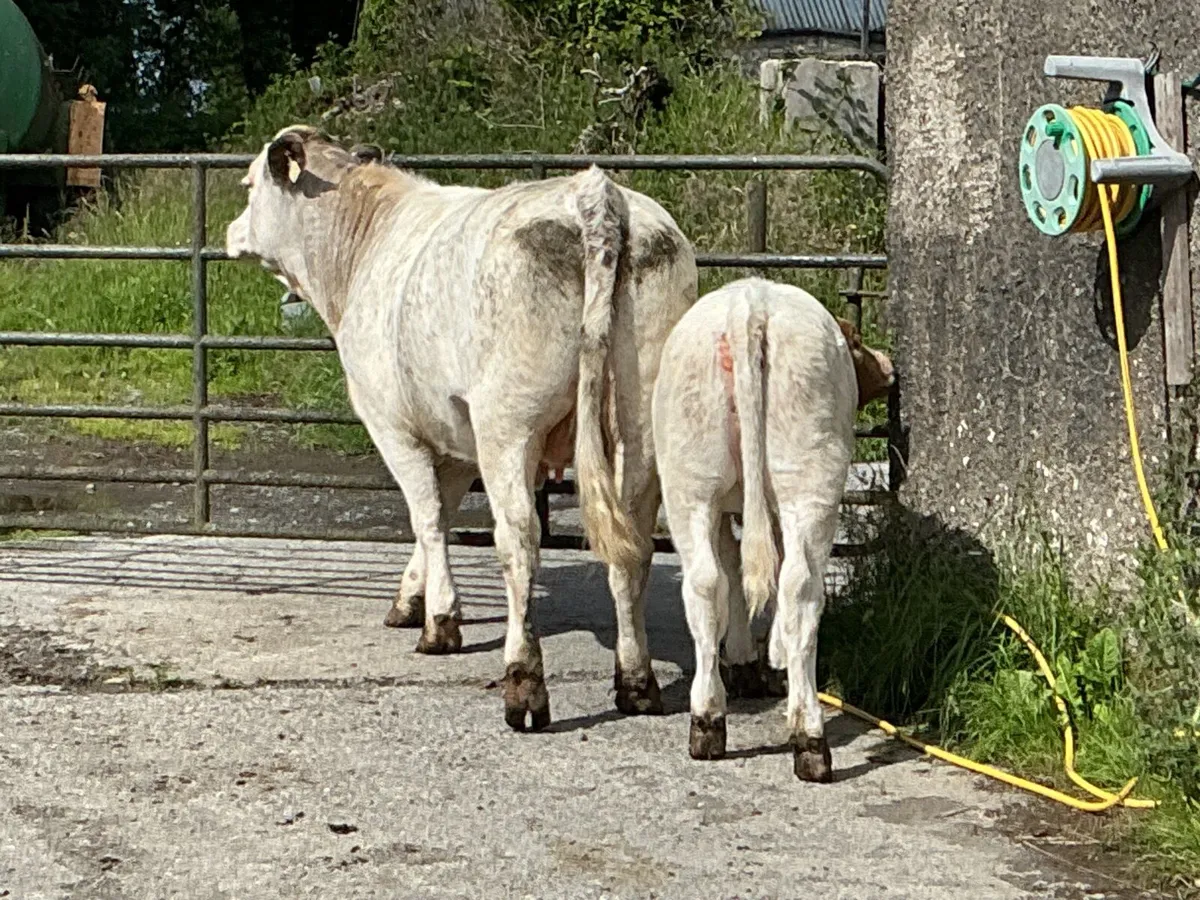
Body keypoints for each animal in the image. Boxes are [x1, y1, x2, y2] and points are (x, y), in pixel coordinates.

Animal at [226, 126, 698, 730]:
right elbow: (444, 510)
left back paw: (524, 685)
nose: (232, 231)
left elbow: (427, 518)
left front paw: (439, 623)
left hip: (509, 425)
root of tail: (594, 195)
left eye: (248, 185)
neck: (363, 246)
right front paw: (411, 599)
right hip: (638, 429)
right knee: (632, 545)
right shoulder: (454, 438)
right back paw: (636, 681)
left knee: (518, 540)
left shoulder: (394, 426)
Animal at [651, 277, 893, 782]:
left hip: (690, 478)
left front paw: (746, 658)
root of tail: (751, 303)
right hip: (810, 476)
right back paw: (809, 737)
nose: (887, 365)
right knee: (800, 585)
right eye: (858, 340)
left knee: (706, 583)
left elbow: (732, 568)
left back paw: (708, 720)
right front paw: (765, 657)